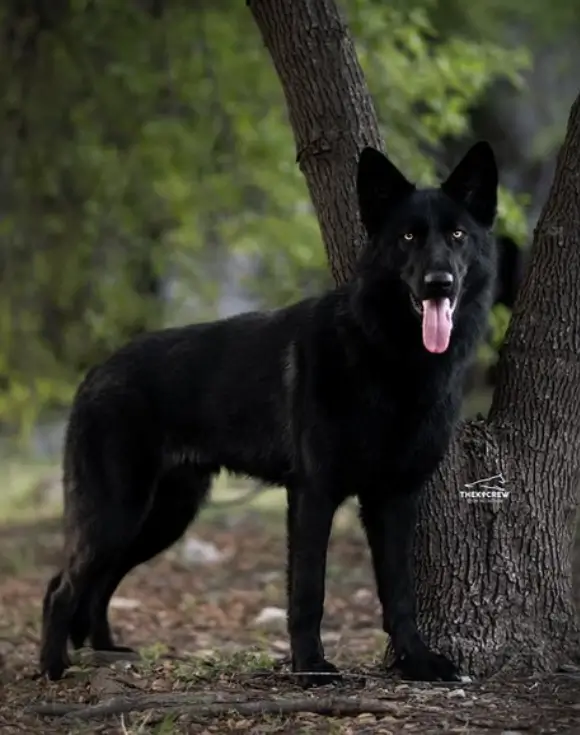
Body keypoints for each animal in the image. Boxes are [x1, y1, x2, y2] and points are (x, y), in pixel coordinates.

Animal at [39, 142, 498, 684]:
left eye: (457, 235)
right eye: (408, 236)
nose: (438, 284)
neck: (386, 355)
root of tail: (95, 373)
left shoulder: (393, 499)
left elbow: (398, 592)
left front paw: (417, 661)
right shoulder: (314, 494)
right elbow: (308, 591)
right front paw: (311, 667)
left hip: (162, 516)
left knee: (97, 581)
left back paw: (104, 651)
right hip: (120, 512)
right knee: (61, 587)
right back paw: (51, 667)